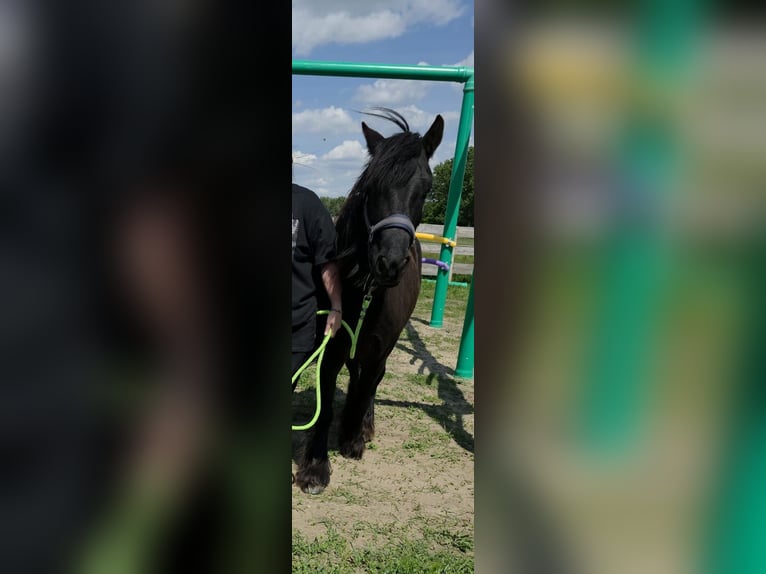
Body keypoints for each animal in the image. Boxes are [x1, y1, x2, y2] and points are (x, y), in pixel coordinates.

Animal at [294, 107, 444, 494]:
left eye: (427, 188)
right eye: (371, 186)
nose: (389, 262)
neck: (366, 290)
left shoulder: (380, 347)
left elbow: (366, 387)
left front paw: (352, 437)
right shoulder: (331, 347)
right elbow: (327, 401)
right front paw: (316, 466)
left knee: (370, 383)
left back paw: (363, 424)